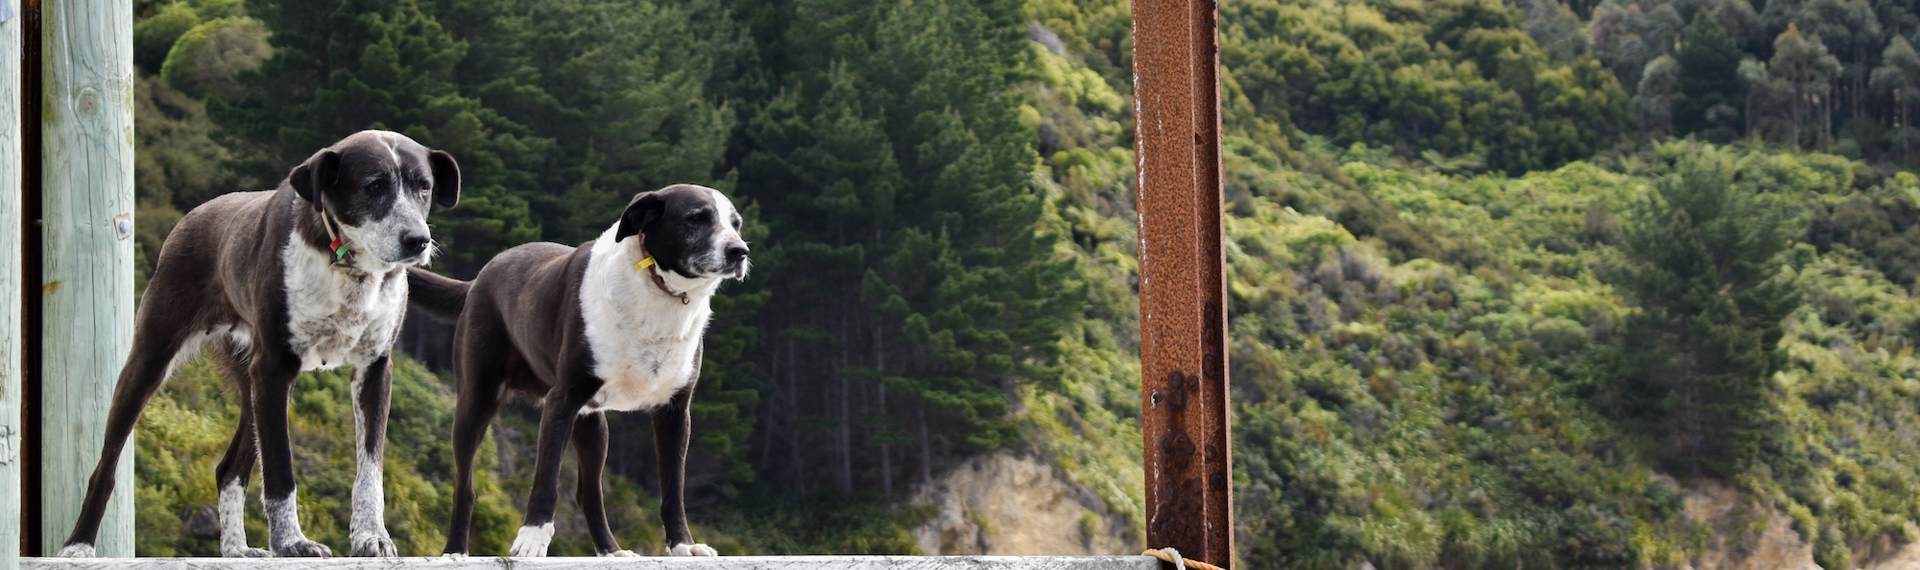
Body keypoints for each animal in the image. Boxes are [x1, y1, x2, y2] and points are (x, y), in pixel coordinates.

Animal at [56, 130, 460, 556]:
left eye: (423, 187)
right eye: (374, 186)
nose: (418, 240)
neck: (348, 264)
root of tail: (193, 216)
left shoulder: (374, 369)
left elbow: (370, 471)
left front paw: (371, 536)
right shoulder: (274, 368)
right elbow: (281, 470)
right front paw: (293, 543)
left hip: (253, 387)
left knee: (228, 469)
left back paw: (236, 549)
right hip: (152, 362)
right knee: (106, 466)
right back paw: (79, 544)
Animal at [407, 183, 748, 556]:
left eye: (736, 224)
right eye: (696, 218)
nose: (740, 252)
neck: (657, 289)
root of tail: (479, 278)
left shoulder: (674, 412)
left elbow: (673, 489)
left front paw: (683, 545)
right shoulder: (563, 400)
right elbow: (546, 476)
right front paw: (532, 538)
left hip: (592, 424)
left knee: (588, 494)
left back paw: (611, 550)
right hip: (476, 402)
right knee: (465, 486)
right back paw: (455, 549)